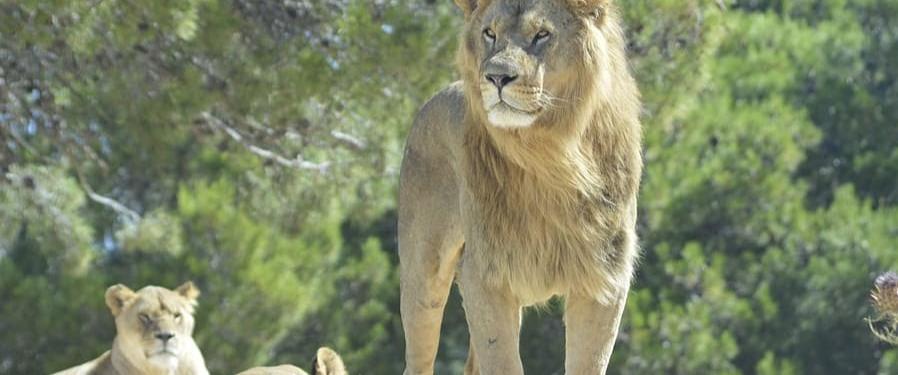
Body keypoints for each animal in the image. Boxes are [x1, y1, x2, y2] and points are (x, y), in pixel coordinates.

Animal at [398, 1, 636, 374]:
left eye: (542, 34)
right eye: (489, 33)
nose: (496, 77)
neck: (550, 156)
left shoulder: (605, 279)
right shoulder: (484, 275)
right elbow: (503, 363)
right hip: (423, 277)